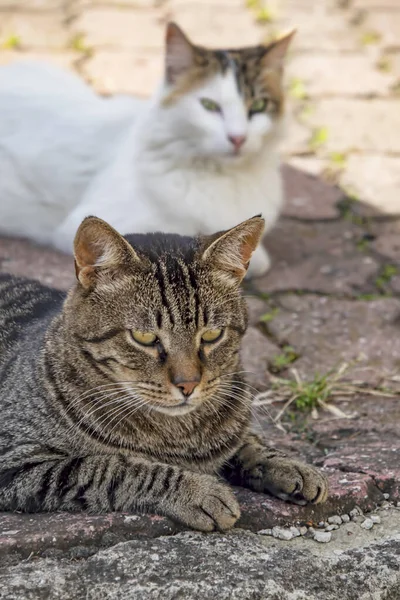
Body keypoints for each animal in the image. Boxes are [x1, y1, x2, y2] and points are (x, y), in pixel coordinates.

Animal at [0, 217, 326, 528]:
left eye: (212, 335)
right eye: (144, 337)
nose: (189, 384)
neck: (179, 435)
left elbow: (247, 442)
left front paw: (288, 465)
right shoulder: (17, 462)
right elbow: (113, 467)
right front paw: (198, 491)